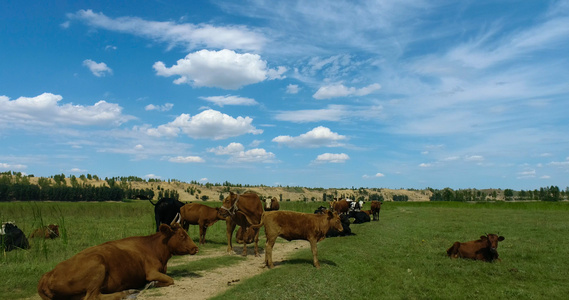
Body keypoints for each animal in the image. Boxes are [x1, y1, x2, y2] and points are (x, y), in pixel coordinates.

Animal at [37, 220, 197, 300]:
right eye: (182, 235)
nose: (196, 248)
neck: (155, 249)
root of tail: (48, 274)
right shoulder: (151, 272)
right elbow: (170, 280)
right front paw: (153, 284)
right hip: (98, 265)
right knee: (93, 297)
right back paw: (127, 293)